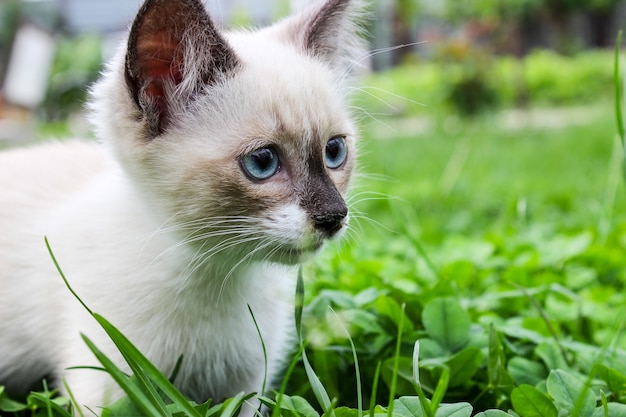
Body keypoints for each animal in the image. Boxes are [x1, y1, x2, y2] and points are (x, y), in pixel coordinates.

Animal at [0, 0, 366, 412]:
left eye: (334, 151)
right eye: (262, 162)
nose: (334, 216)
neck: (218, 275)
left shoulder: (248, 388)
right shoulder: (107, 387)